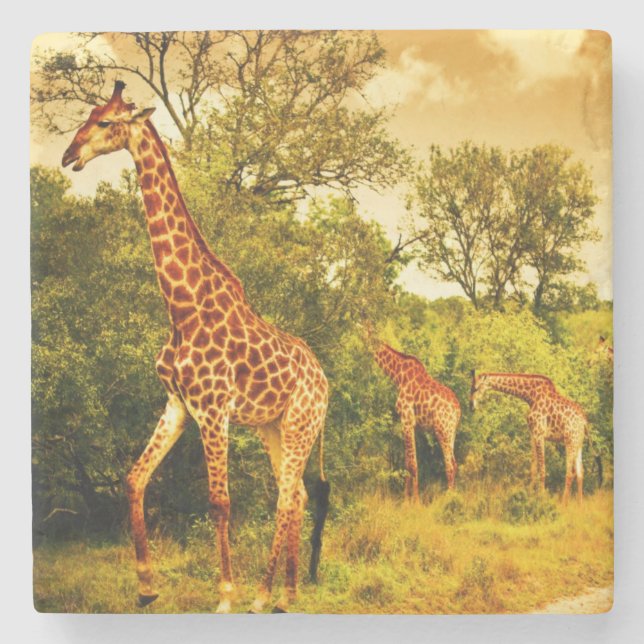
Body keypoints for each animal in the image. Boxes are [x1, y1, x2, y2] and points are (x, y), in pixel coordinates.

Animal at [61, 81, 330, 613]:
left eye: (106, 123)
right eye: (88, 114)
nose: (67, 155)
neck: (182, 307)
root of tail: (326, 381)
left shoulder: (212, 408)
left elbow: (219, 501)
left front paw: (225, 595)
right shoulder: (178, 404)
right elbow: (133, 479)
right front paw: (146, 586)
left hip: (300, 425)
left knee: (285, 498)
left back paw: (261, 596)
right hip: (272, 426)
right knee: (296, 497)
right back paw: (285, 594)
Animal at [362, 324, 460, 500]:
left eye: (364, 333)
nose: (363, 348)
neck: (397, 376)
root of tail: (458, 410)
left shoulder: (407, 419)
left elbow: (412, 464)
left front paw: (414, 501)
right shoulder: (411, 424)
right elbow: (408, 462)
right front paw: (406, 497)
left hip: (442, 430)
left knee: (450, 465)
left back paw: (448, 499)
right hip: (451, 433)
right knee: (454, 463)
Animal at [469, 371, 587, 503]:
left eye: (476, 388)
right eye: (471, 388)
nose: (471, 406)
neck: (531, 396)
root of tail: (584, 422)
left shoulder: (540, 433)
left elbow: (542, 469)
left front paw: (541, 497)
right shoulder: (533, 434)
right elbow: (533, 468)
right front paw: (530, 495)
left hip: (570, 441)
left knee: (570, 472)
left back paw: (563, 503)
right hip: (578, 443)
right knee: (580, 472)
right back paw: (580, 504)